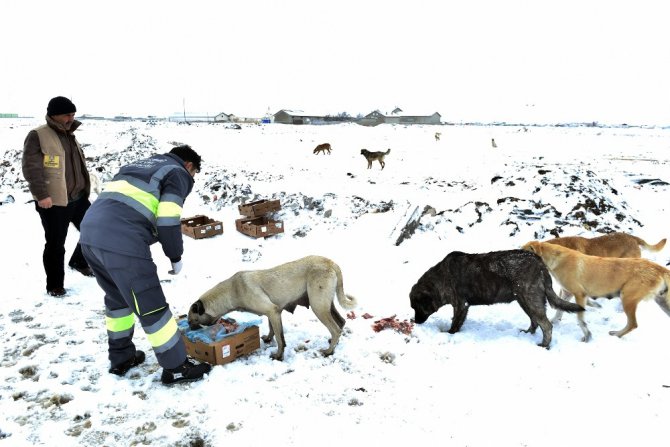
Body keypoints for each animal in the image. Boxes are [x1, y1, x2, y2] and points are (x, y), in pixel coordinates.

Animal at [188, 256, 356, 360]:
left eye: (192, 320)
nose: (189, 329)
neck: (232, 290)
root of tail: (330, 263)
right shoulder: (273, 313)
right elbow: (272, 330)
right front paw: (269, 338)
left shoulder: (272, 311)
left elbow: (281, 339)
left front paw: (278, 355)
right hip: (326, 305)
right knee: (341, 322)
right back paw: (333, 343)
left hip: (318, 307)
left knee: (336, 329)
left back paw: (329, 351)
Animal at [410, 250, 584, 348]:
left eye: (416, 307)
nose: (415, 321)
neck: (441, 278)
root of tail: (540, 263)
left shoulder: (461, 305)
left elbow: (455, 324)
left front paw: (450, 334)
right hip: (524, 301)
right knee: (535, 321)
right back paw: (528, 333)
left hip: (530, 299)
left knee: (547, 326)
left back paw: (544, 345)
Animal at [524, 242, 670, 344]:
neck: (556, 259)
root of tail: (658, 268)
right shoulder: (567, 292)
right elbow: (559, 310)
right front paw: (554, 321)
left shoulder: (579, 294)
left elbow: (580, 319)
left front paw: (586, 336)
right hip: (662, 303)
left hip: (627, 299)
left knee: (633, 324)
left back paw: (616, 334)